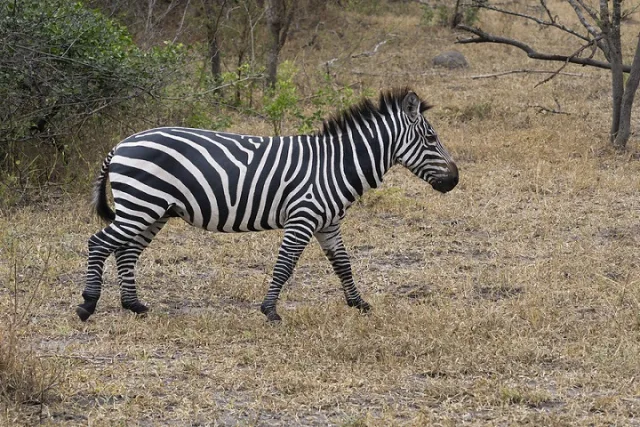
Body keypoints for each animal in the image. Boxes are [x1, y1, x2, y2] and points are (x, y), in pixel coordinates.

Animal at [76, 88, 460, 322]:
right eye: (431, 138)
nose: (455, 180)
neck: (335, 164)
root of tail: (122, 143)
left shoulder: (328, 223)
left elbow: (343, 265)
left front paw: (359, 303)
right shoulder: (303, 218)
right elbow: (285, 266)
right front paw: (270, 310)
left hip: (153, 209)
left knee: (126, 251)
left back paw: (134, 305)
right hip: (141, 204)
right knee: (99, 243)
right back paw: (88, 304)